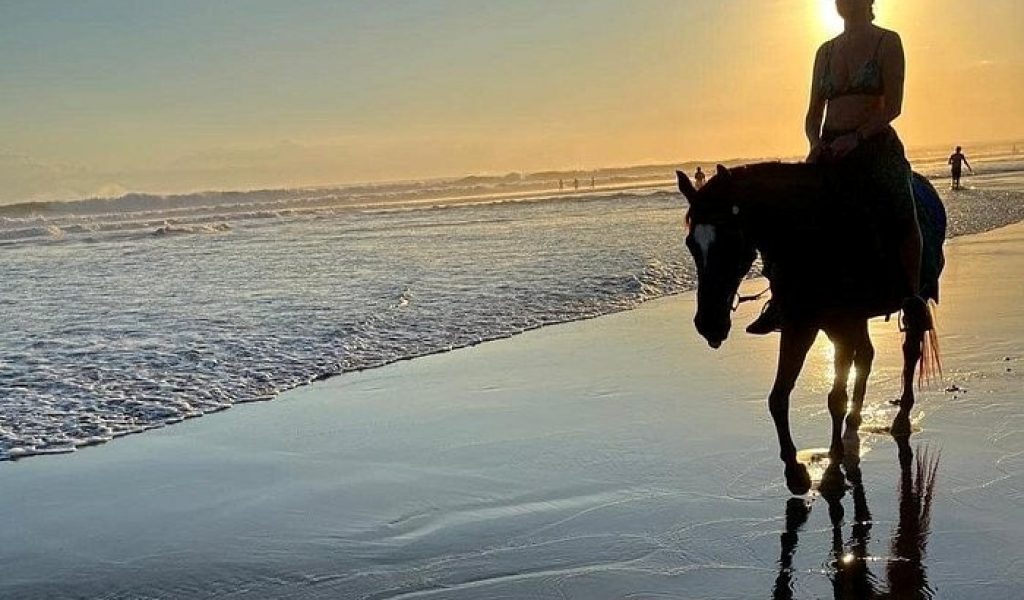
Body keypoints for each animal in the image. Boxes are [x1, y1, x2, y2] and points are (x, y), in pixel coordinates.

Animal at [675, 163, 945, 495]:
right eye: (691, 244)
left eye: (729, 240)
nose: (709, 323)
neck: (809, 240)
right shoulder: (800, 326)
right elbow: (778, 398)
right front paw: (795, 472)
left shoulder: (838, 327)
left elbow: (835, 397)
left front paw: (831, 470)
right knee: (867, 356)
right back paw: (855, 419)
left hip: (915, 296)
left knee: (910, 351)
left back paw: (901, 417)